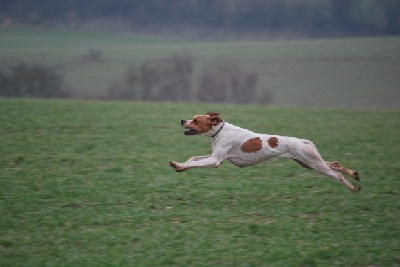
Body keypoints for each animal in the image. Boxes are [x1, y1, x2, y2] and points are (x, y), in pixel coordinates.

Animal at [170, 111, 360, 193]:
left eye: (195, 120)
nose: (182, 120)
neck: (220, 131)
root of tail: (303, 141)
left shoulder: (215, 160)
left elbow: (195, 162)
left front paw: (178, 165)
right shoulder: (215, 157)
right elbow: (193, 158)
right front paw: (181, 166)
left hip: (314, 163)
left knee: (337, 175)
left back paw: (353, 187)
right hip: (308, 162)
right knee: (335, 164)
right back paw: (355, 174)